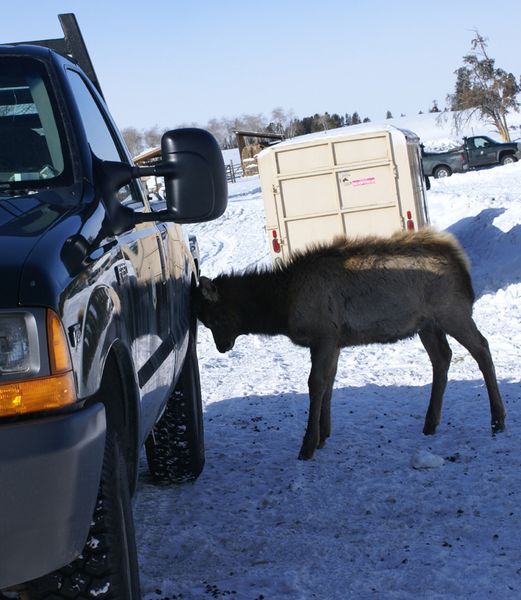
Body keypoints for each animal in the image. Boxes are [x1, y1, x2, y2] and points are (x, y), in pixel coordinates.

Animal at [194, 230, 504, 460]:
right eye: (204, 322)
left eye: (215, 318)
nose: (222, 347)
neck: (283, 305)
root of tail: (461, 262)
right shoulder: (335, 341)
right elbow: (329, 382)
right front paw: (324, 435)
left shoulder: (323, 335)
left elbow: (315, 383)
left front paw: (308, 445)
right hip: (427, 324)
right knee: (442, 358)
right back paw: (430, 423)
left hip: (452, 312)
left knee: (482, 348)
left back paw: (498, 420)